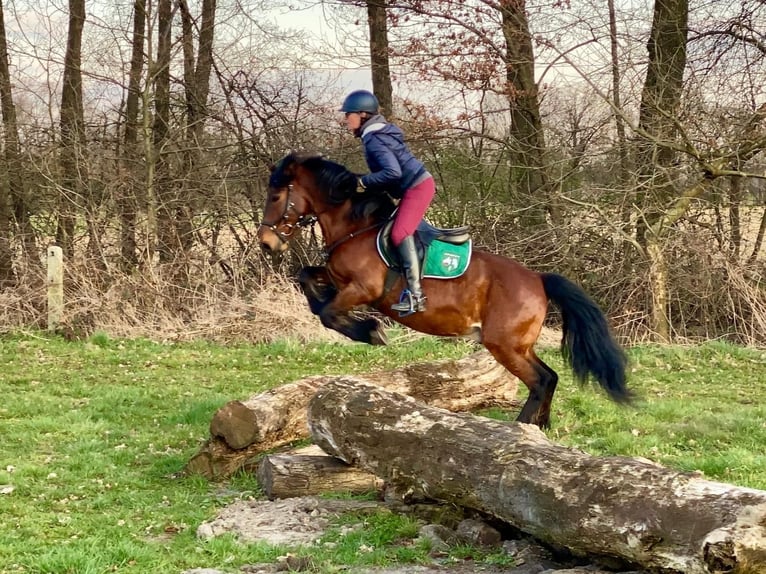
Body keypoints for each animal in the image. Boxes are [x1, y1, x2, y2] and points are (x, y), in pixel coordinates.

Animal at [258, 151, 631, 428]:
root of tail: (538, 279)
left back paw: (520, 427)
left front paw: (371, 331)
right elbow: (308, 279)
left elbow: (329, 313)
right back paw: (539, 426)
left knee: (540, 380)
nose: (265, 243)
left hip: (504, 344)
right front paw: (357, 323)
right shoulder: (336, 277)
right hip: (517, 345)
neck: (355, 227)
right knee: (550, 376)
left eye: (275, 196)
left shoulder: (364, 288)